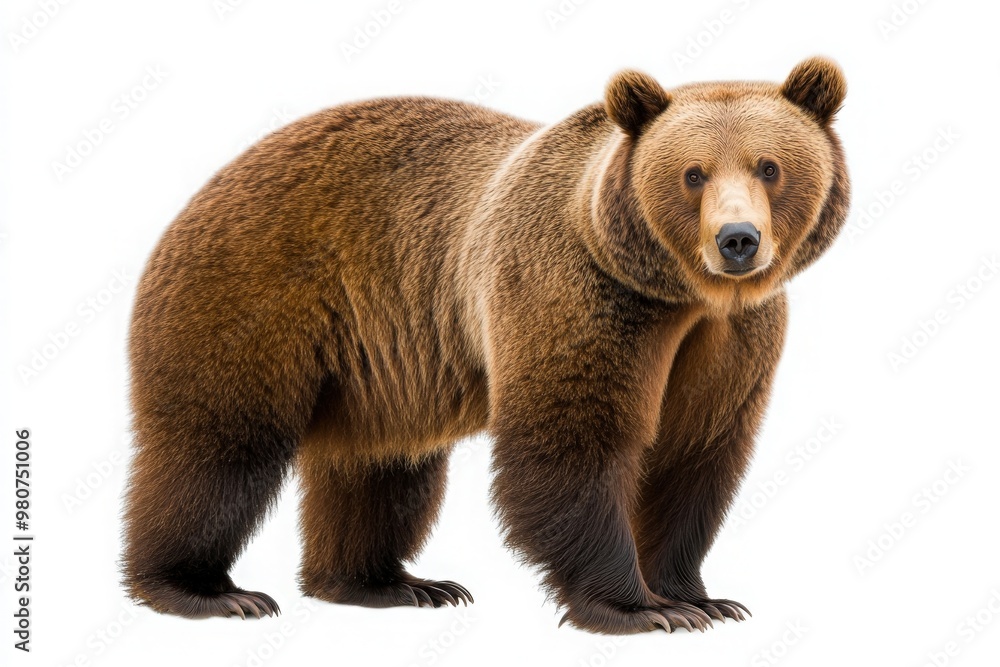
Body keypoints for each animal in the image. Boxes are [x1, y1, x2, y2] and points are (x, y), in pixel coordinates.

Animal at [121, 56, 849, 634]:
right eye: (693, 174)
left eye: (769, 166)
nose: (737, 240)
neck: (678, 294)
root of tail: (204, 188)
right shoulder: (578, 296)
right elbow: (572, 442)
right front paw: (638, 607)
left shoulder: (732, 339)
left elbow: (693, 452)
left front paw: (699, 597)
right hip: (253, 294)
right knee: (219, 448)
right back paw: (203, 590)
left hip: (376, 363)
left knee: (383, 466)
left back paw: (388, 582)